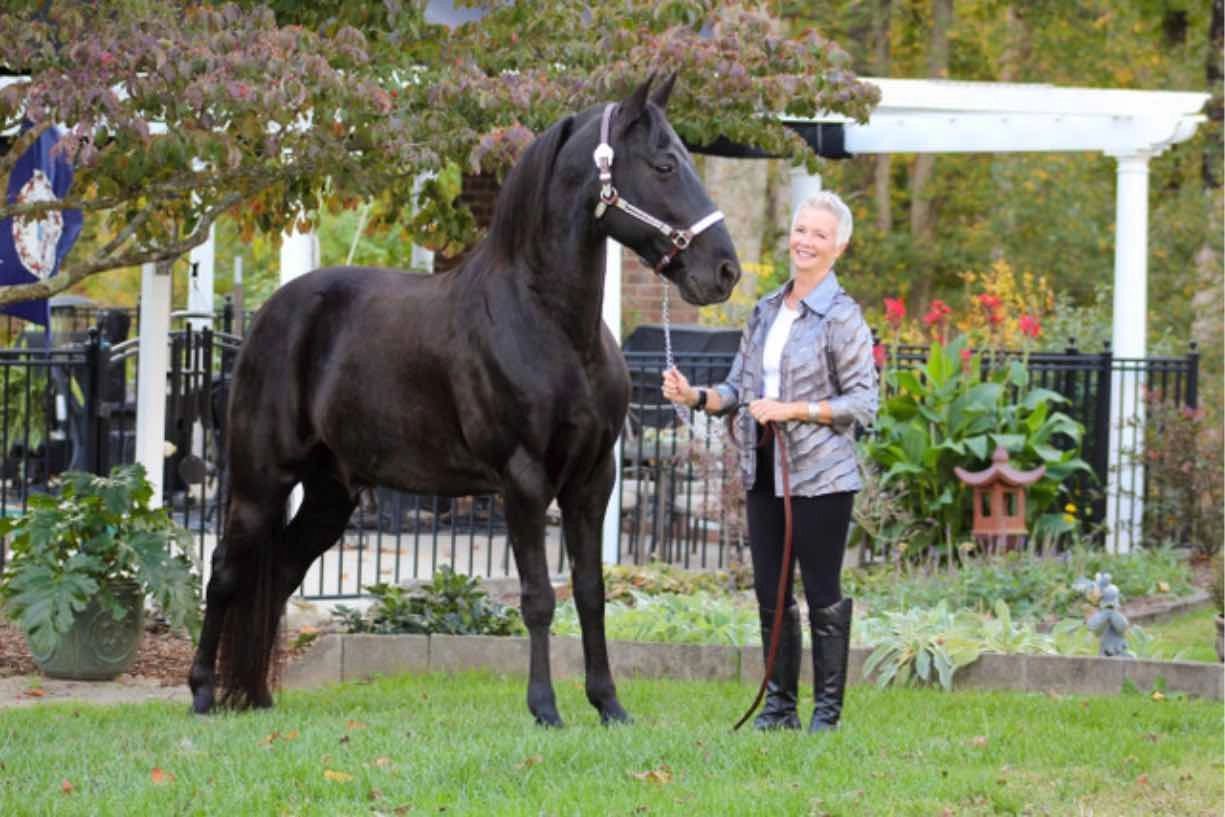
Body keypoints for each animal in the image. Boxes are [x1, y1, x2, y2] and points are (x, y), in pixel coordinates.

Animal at [187, 74, 741, 726]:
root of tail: (268, 316)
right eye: (664, 164)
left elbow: (590, 593)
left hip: (330, 494)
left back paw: (259, 697)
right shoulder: (523, 482)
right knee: (226, 572)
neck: (552, 324)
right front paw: (545, 709)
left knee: (280, 571)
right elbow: (537, 598)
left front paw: (608, 705)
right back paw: (203, 691)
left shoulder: (593, 479)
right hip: (259, 482)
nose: (724, 270)